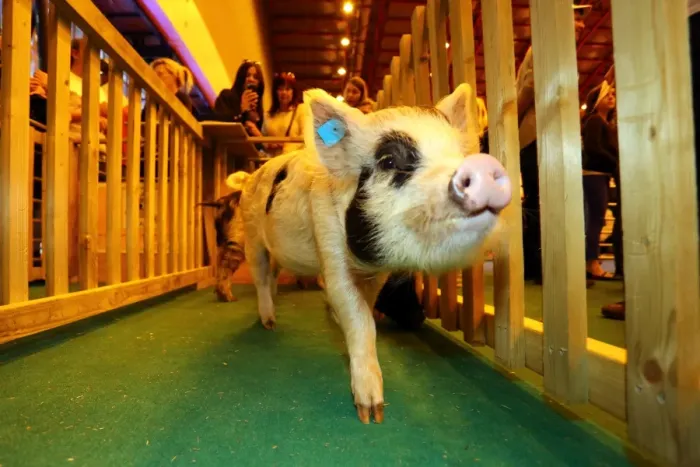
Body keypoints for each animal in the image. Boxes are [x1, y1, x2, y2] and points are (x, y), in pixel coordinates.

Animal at [228, 83, 512, 424]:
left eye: (459, 153)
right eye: (388, 162)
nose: (482, 165)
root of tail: (248, 177)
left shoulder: (378, 274)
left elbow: (368, 304)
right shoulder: (328, 243)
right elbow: (358, 315)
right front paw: (372, 414)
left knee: (271, 273)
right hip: (251, 235)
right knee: (259, 276)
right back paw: (269, 323)